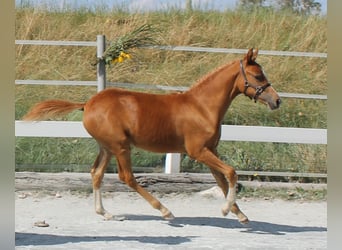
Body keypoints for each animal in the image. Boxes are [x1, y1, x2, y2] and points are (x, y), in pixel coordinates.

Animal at [23, 47, 280, 224]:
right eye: (258, 76)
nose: (277, 100)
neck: (202, 107)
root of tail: (87, 104)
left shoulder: (211, 150)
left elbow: (222, 181)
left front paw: (240, 214)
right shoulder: (198, 151)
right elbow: (231, 173)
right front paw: (227, 210)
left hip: (107, 147)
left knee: (96, 174)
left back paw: (105, 213)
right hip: (121, 147)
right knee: (126, 177)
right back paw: (165, 211)